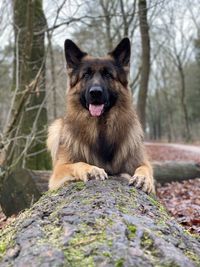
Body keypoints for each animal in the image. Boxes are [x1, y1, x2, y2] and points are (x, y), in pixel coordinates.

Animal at [47, 37, 155, 194]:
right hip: (55, 128)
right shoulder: (59, 170)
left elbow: (144, 168)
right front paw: (92, 170)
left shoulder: (141, 161)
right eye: (86, 75)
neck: (100, 127)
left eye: (108, 75)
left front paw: (143, 178)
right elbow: (78, 163)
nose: (95, 92)